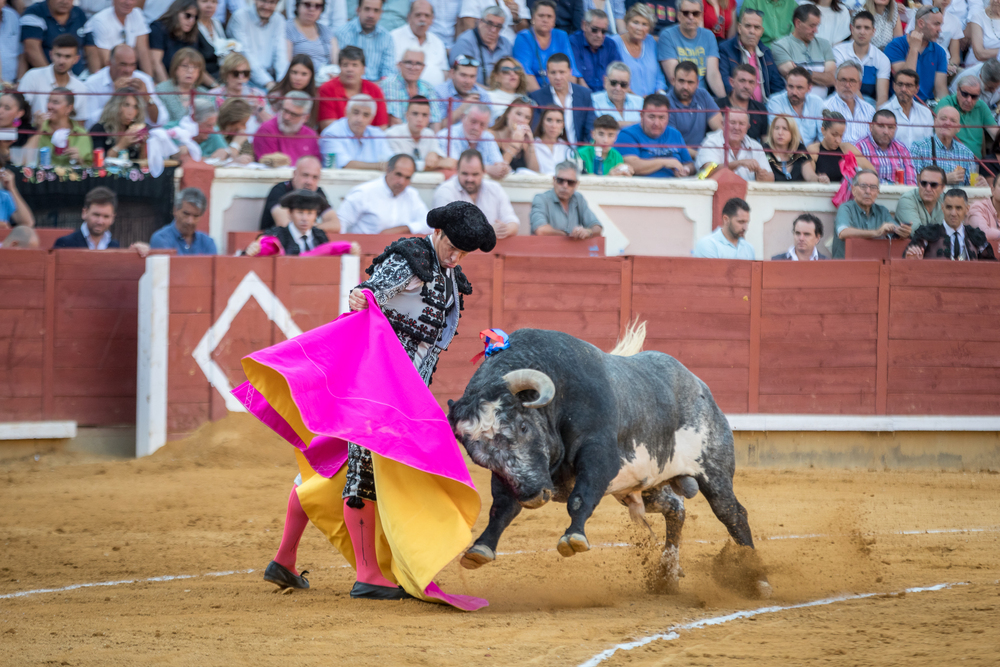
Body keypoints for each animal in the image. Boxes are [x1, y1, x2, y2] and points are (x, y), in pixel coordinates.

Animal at [448, 326, 772, 596]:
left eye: (523, 427)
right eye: (476, 454)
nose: (534, 496)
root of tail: (699, 386)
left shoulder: (599, 455)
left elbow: (580, 497)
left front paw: (573, 538)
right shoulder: (513, 477)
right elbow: (501, 509)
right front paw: (480, 549)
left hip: (714, 471)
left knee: (732, 514)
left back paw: (758, 581)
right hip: (647, 487)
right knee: (676, 509)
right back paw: (667, 574)